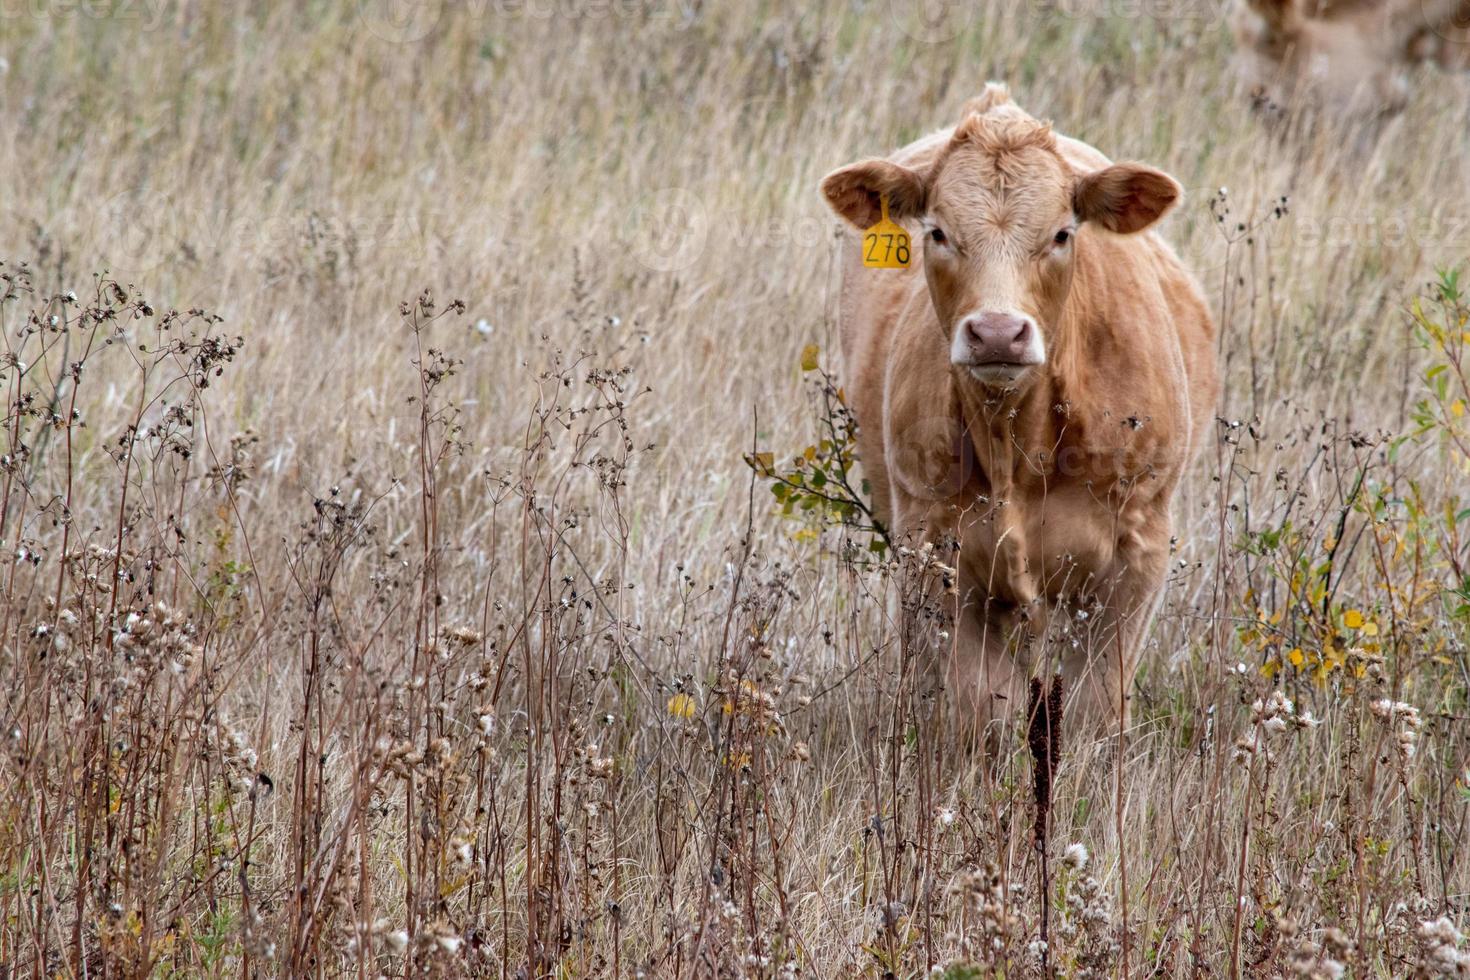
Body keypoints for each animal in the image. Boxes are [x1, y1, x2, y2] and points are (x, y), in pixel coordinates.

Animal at [817, 86, 1217, 743]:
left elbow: (1094, 707)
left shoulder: (1137, 554)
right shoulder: (936, 555)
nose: (998, 333)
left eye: (1061, 234)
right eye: (938, 232)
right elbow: (983, 709)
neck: (1018, 448)